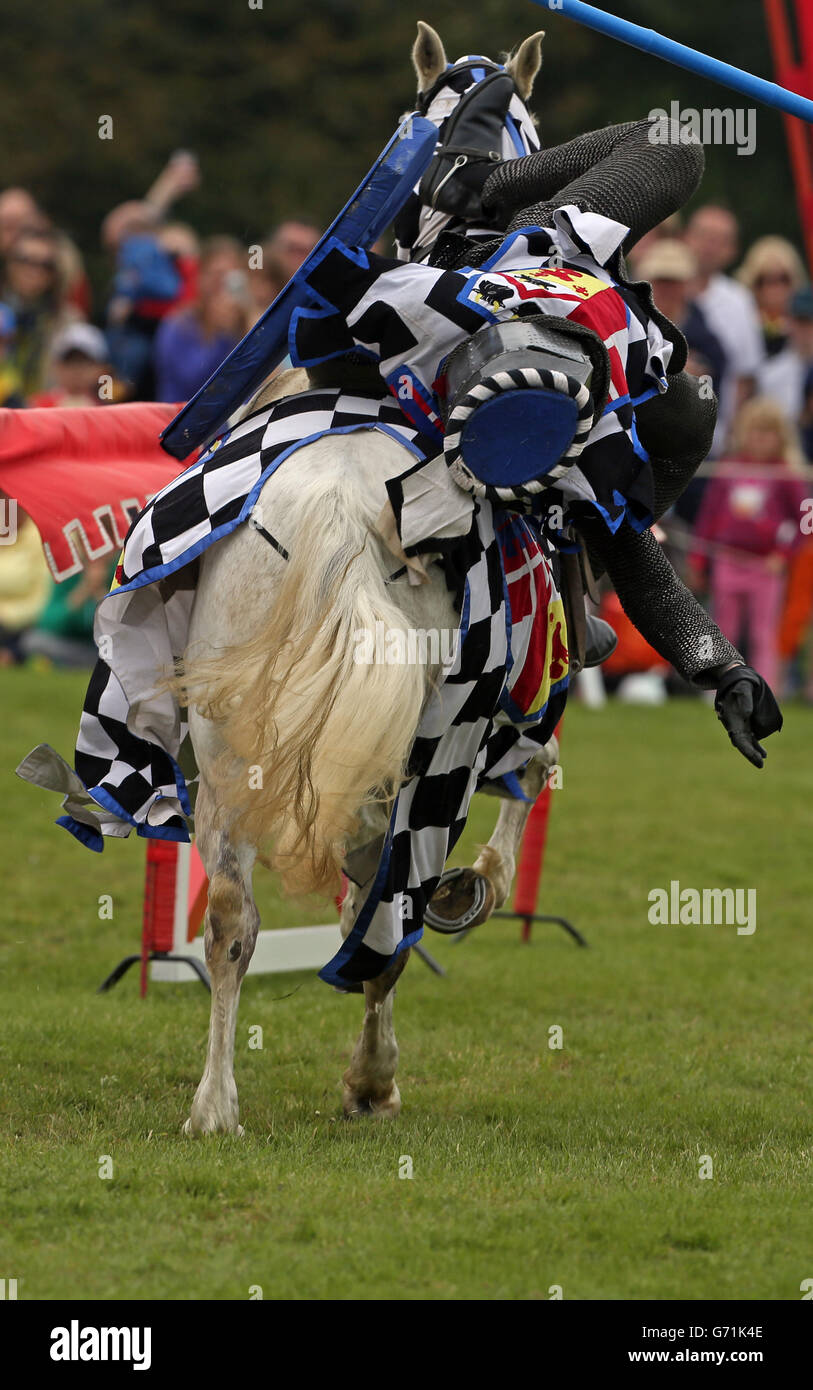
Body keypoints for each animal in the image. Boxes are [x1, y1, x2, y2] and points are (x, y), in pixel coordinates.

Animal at [172, 24, 555, 1128]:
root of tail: (346, 507)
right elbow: (524, 792)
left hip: (228, 747)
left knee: (232, 916)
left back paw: (215, 1104)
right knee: (388, 913)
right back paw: (370, 1075)